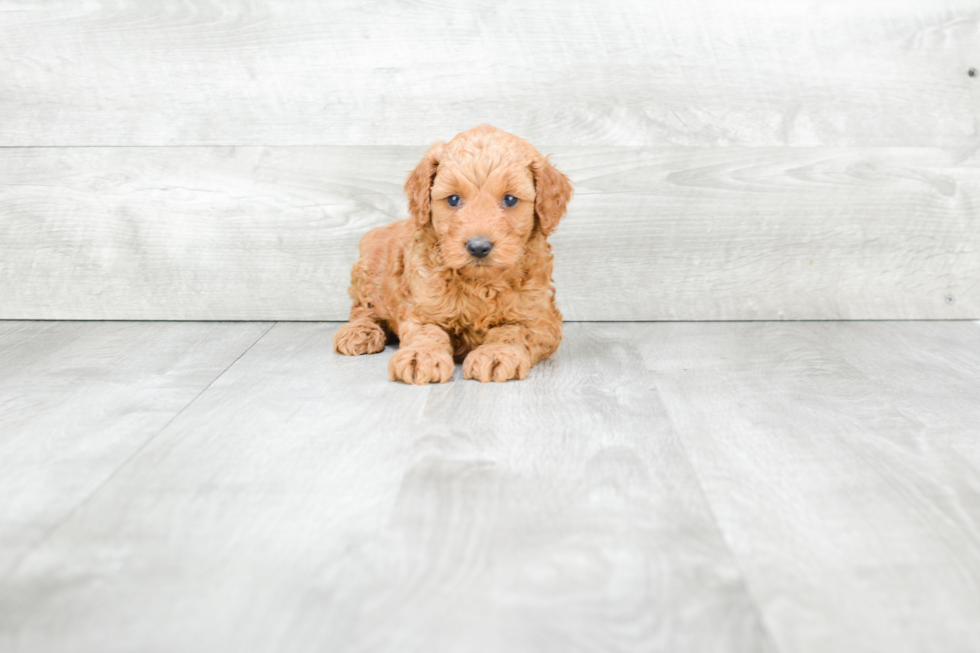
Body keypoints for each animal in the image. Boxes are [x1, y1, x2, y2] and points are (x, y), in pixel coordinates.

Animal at [334, 123, 572, 382]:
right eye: (454, 199)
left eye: (510, 199)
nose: (478, 247)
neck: (480, 283)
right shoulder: (421, 309)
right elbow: (427, 332)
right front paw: (420, 355)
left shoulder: (540, 320)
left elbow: (513, 331)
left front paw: (495, 353)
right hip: (368, 272)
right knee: (363, 310)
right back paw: (359, 332)